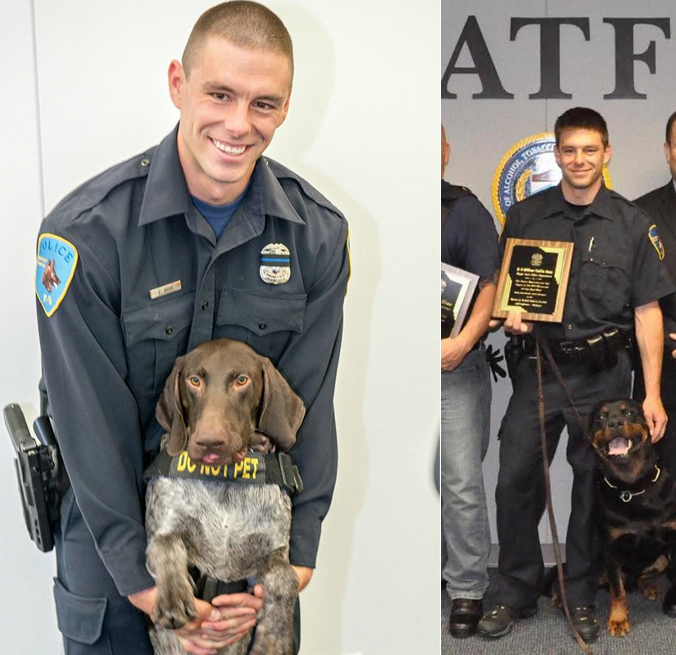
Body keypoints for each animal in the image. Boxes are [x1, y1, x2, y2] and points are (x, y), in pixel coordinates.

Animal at [588, 398, 676, 640]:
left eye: (628, 413)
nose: (615, 423)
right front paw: (618, 619)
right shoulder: (611, 549)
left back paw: (649, 587)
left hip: (661, 559)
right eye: (601, 417)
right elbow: (618, 592)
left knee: (642, 578)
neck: (631, 487)